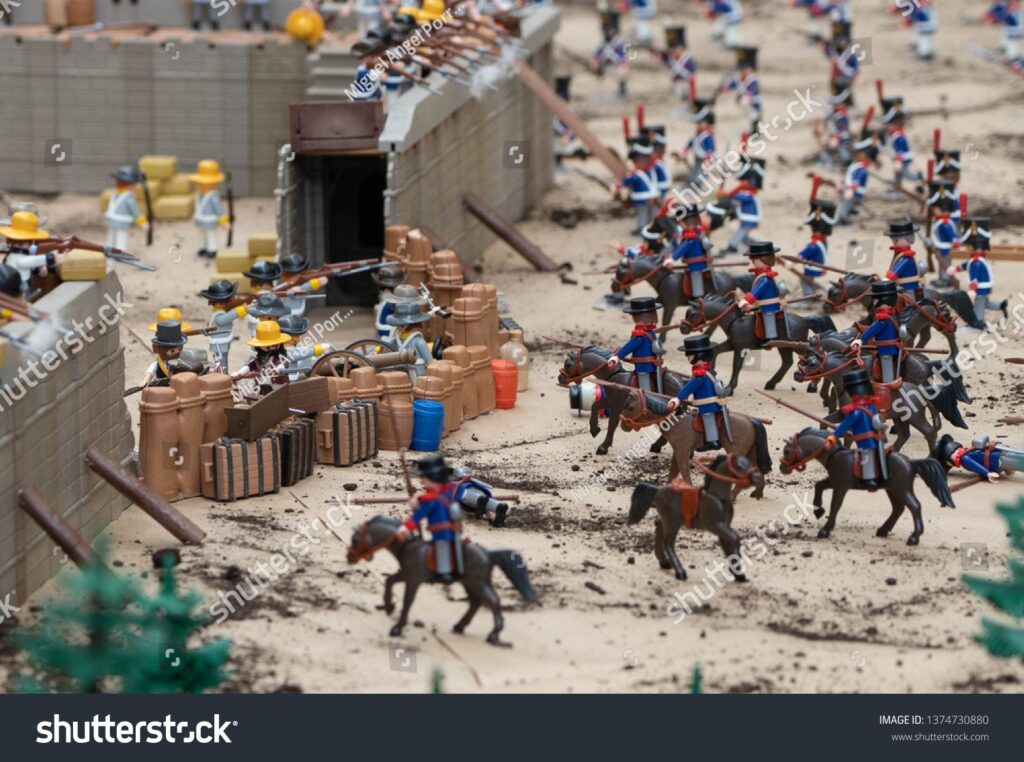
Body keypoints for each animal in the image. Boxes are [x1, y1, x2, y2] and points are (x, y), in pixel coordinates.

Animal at [346, 514, 536, 647]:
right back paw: (460, 626)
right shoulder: (405, 575)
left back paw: (493, 635)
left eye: (355, 540)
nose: (349, 558)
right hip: (470, 583)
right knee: (475, 602)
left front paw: (397, 628)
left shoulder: (413, 580)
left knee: (493, 601)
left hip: (478, 582)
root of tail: (488, 554)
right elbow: (389, 581)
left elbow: (407, 601)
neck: (407, 547)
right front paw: (388, 606)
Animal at [614, 387, 770, 493]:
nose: (623, 425)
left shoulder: (682, 452)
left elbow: (684, 471)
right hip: (750, 453)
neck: (676, 421)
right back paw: (757, 493)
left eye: (631, 407)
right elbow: (674, 470)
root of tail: (751, 421)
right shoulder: (678, 451)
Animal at [622, 448, 761, 581]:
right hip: (672, 522)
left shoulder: (723, 526)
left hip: (668, 519)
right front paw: (738, 562)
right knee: (668, 544)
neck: (718, 497)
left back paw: (664, 562)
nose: (758, 478)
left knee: (659, 528)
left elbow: (728, 544)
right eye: (739, 466)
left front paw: (739, 575)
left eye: (750, 463)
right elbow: (734, 537)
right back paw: (680, 572)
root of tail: (658, 490)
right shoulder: (715, 525)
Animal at [778, 426, 954, 544]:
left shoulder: (840, 486)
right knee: (898, 508)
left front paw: (825, 530)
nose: (782, 468)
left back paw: (914, 537)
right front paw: (818, 510)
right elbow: (819, 485)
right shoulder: (833, 481)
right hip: (892, 489)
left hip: (901, 489)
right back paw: (883, 530)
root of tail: (910, 463)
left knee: (915, 506)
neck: (834, 454)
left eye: (786, 451)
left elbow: (835, 505)